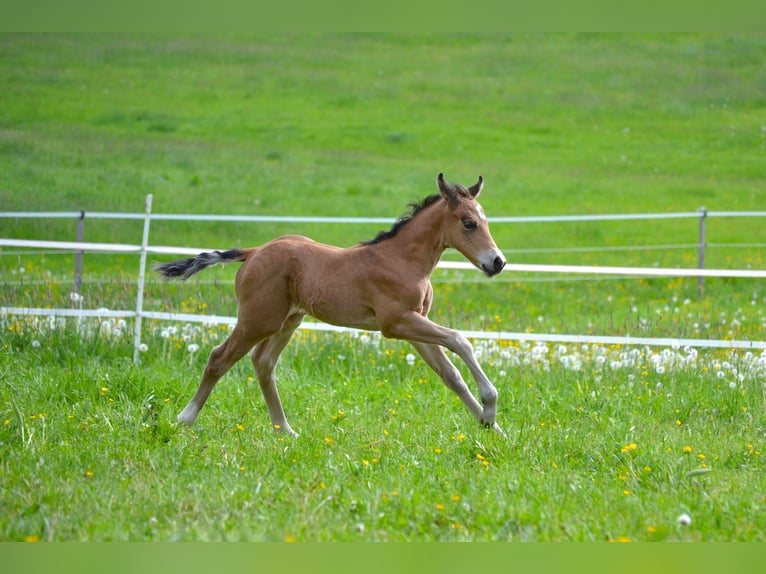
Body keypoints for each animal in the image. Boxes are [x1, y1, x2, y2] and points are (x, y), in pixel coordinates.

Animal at [155, 173, 507, 436]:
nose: (498, 262)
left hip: (289, 320)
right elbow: (460, 340)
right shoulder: (396, 323)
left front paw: (492, 427)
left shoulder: (414, 325)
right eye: (468, 223)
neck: (402, 260)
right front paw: (490, 406)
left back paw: (285, 430)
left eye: (485, 221)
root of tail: (253, 252)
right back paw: (185, 419)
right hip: (258, 321)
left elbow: (450, 375)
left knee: (263, 362)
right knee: (220, 357)